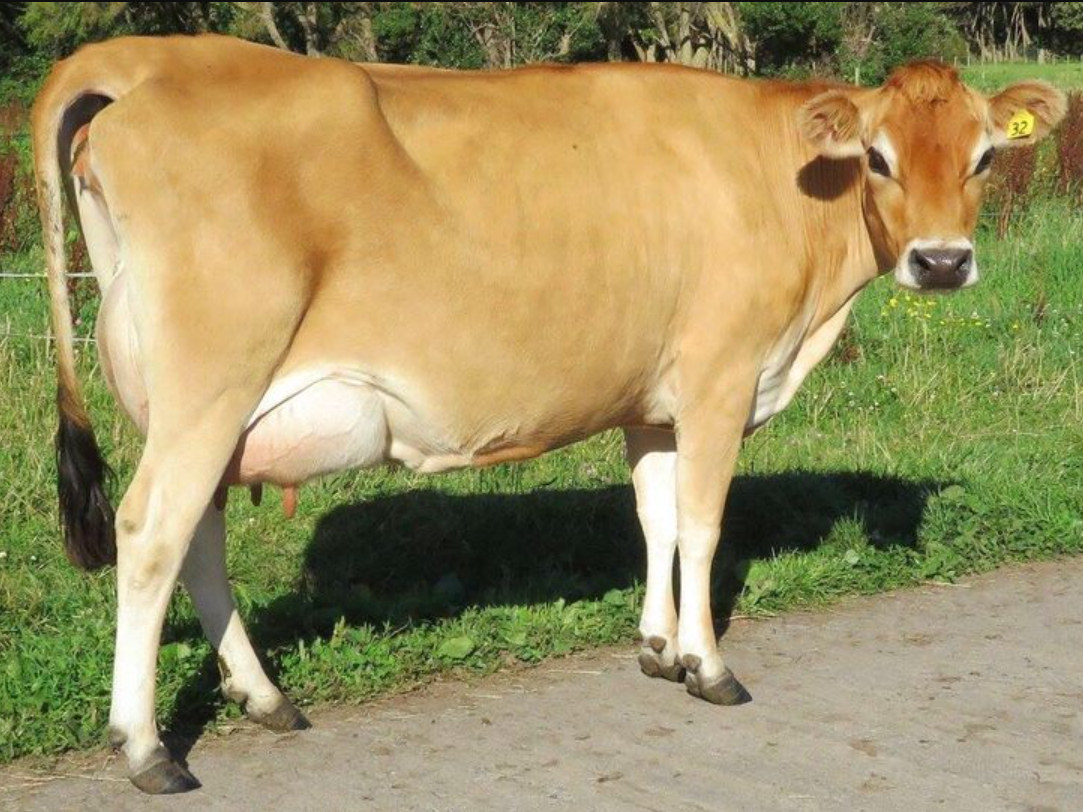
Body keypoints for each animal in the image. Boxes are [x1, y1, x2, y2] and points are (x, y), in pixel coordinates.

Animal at [31, 34, 1065, 793]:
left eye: (983, 156)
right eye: (878, 158)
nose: (941, 262)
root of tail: (147, 58)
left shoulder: (653, 397)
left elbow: (654, 517)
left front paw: (657, 647)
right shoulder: (721, 377)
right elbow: (701, 523)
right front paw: (709, 666)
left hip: (204, 405)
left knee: (196, 538)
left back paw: (263, 697)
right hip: (212, 381)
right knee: (150, 532)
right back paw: (145, 747)